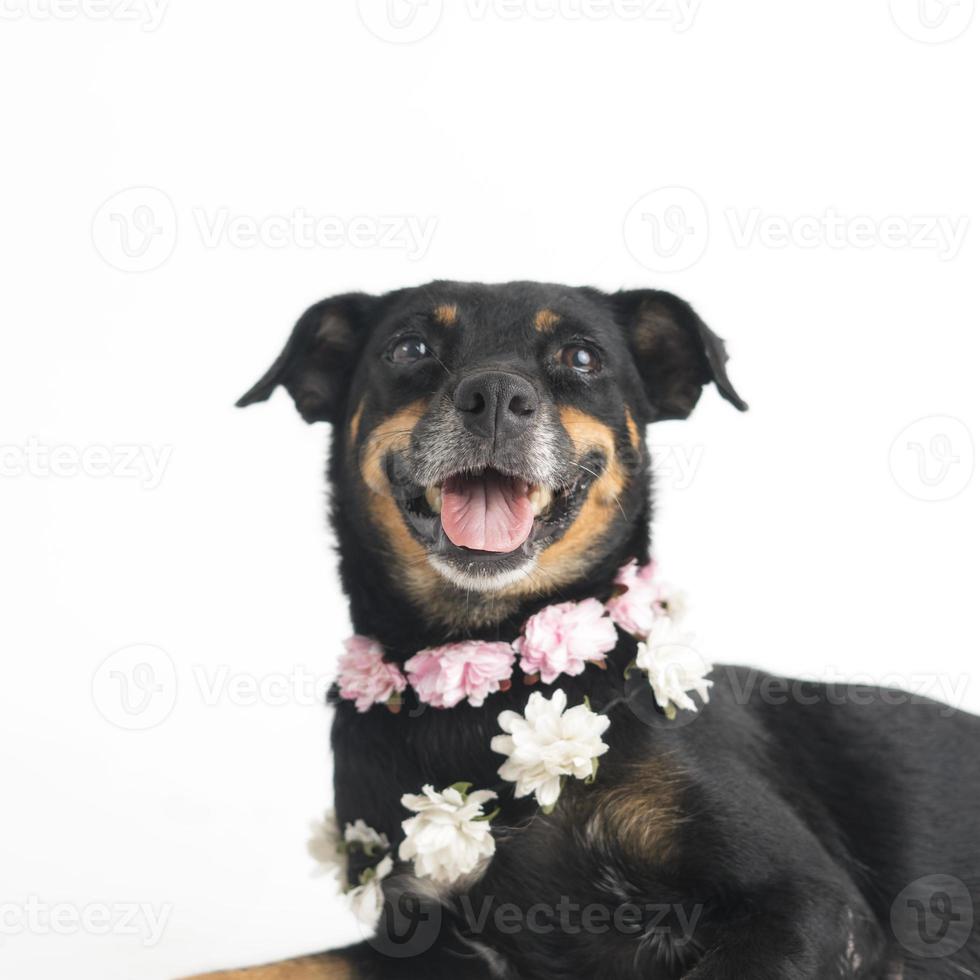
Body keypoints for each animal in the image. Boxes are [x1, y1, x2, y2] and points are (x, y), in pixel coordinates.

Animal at [188, 282, 976, 980]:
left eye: (582, 357)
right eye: (409, 347)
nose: (495, 398)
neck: (490, 679)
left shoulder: (811, 906)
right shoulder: (419, 946)